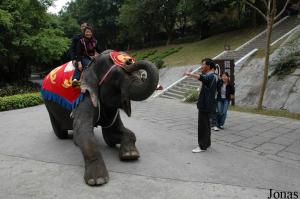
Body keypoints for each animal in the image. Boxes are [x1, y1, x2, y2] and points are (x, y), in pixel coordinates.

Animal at [42, 49, 159, 185]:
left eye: (141, 76)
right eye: (116, 78)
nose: (129, 61)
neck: (92, 65)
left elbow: (112, 135)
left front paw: (130, 155)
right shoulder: (85, 96)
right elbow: (83, 133)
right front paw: (98, 180)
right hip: (48, 104)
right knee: (60, 128)